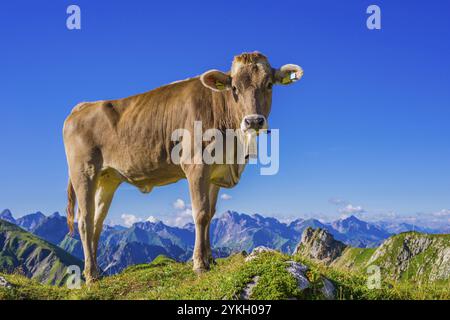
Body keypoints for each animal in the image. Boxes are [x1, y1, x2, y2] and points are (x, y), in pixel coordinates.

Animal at [63, 51, 302, 284]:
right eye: (234, 88)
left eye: (269, 84)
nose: (253, 121)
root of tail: (83, 106)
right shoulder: (197, 165)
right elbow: (201, 213)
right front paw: (199, 264)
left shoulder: (215, 172)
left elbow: (211, 214)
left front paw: (210, 259)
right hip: (84, 172)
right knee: (85, 221)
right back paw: (91, 275)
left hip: (107, 178)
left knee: (97, 222)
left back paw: (97, 271)